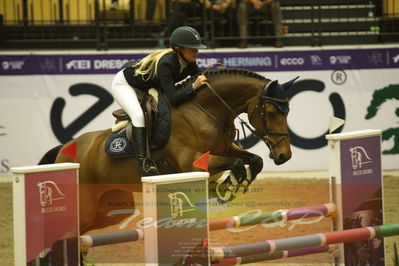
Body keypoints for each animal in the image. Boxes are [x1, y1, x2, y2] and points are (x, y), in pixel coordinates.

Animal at [39, 67, 296, 234]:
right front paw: (224, 187)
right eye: (271, 112)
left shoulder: (225, 148)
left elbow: (254, 160)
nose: (284, 156)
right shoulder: (192, 163)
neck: (205, 111)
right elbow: (235, 164)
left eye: (288, 112)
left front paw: (233, 184)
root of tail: (64, 150)